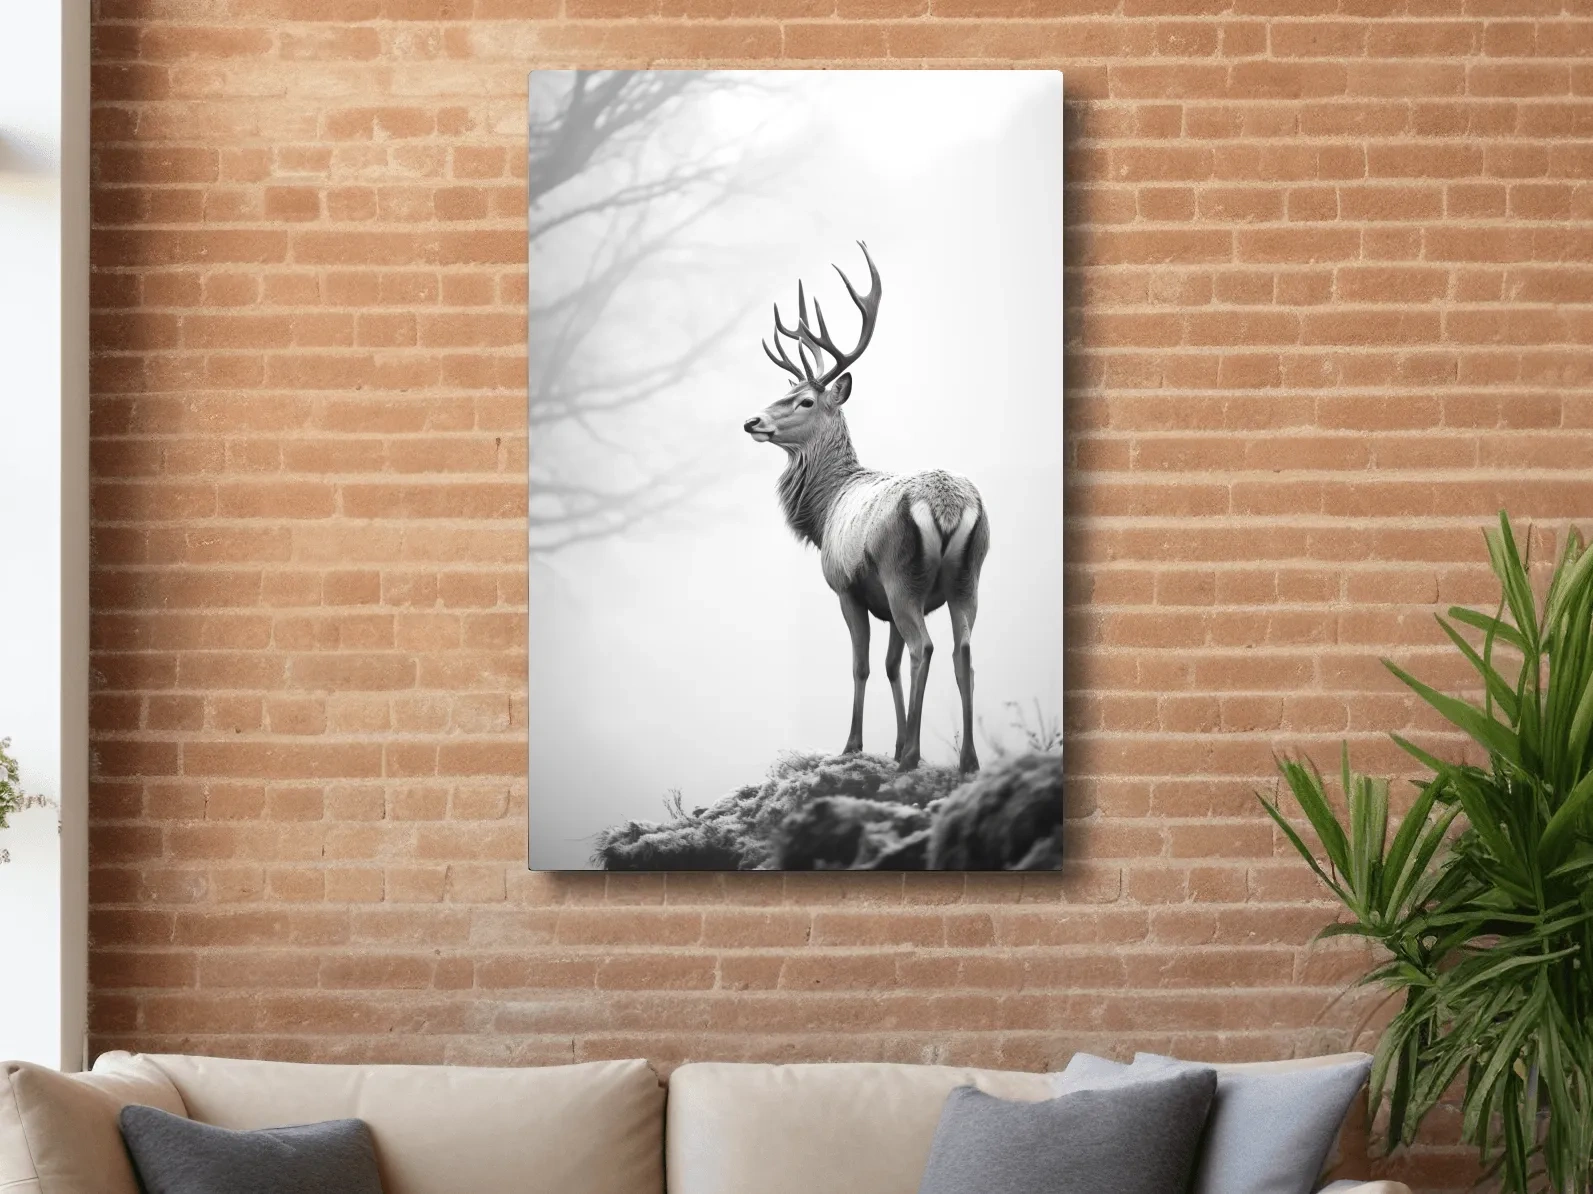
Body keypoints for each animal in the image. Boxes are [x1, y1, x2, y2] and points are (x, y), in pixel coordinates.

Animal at [743, 243, 989, 774]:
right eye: (785, 391)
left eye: (805, 400)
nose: (752, 421)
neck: (825, 509)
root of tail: (947, 506)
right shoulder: (885, 603)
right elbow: (891, 666)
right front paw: (892, 742)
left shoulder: (847, 587)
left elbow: (863, 666)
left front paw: (855, 745)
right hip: (968, 577)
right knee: (962, 652)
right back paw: (967, 761)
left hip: (901, 573)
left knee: (925, 646)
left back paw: (914, 756)